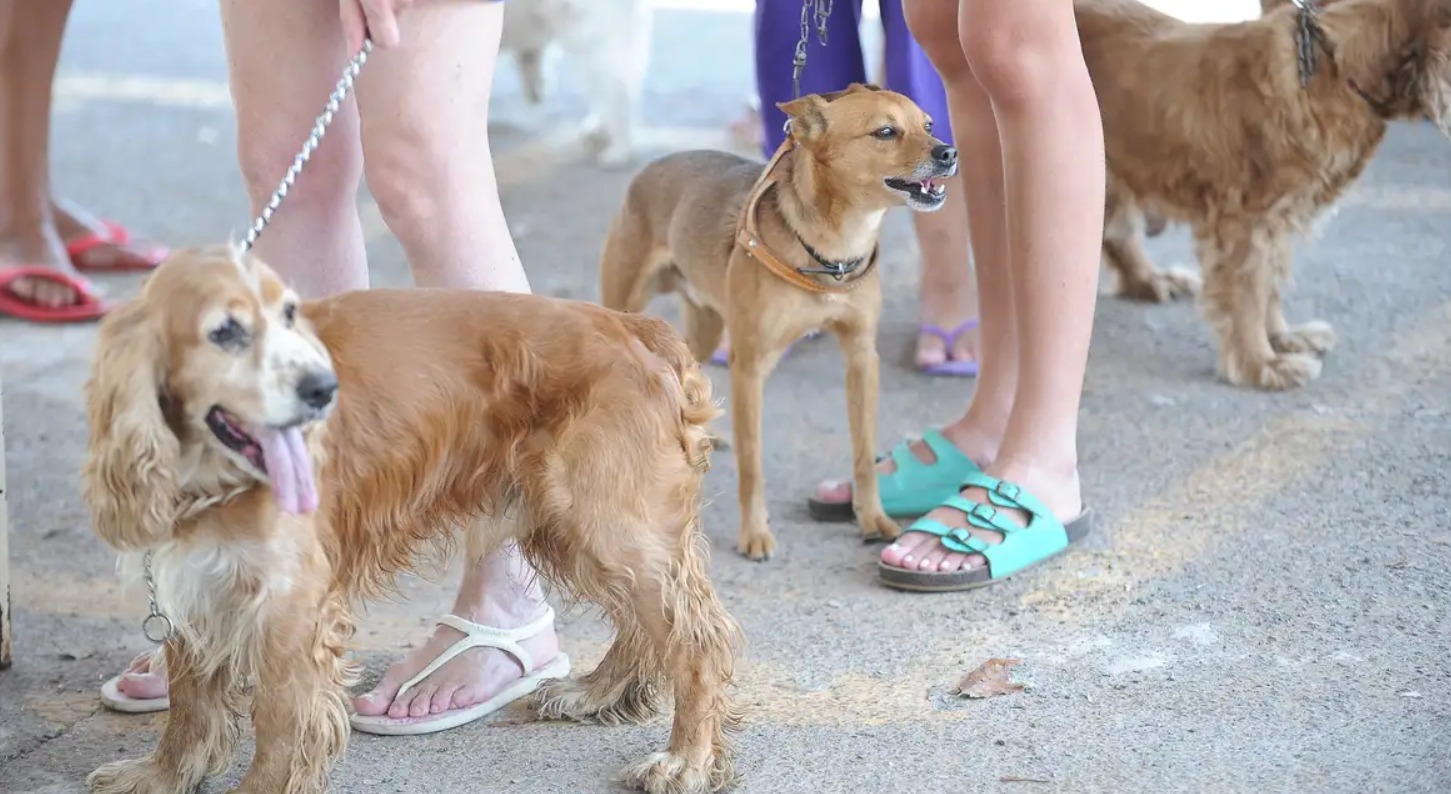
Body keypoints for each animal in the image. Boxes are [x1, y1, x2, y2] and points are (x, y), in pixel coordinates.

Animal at [84, 246, 748, 794]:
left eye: (290, 316)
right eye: (224, 331)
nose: (324, 390)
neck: (210, 476)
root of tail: (634, 326)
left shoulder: (290, 606)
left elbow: (277, 727)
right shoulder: (199, 582)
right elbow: (189, 704)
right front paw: (160, 776)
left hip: (603, 522)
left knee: (697, 638)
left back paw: (686, 760)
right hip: (573, 526)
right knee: (646, 624)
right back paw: (595, 693)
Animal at [1091, 0, 1451, 389]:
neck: (1334, 68)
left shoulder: (1278, 219)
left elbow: (1269, 285)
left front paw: (1283, 339)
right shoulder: (1244, 222)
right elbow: (1248, 293)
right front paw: (1262, 363)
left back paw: (1150, 279)